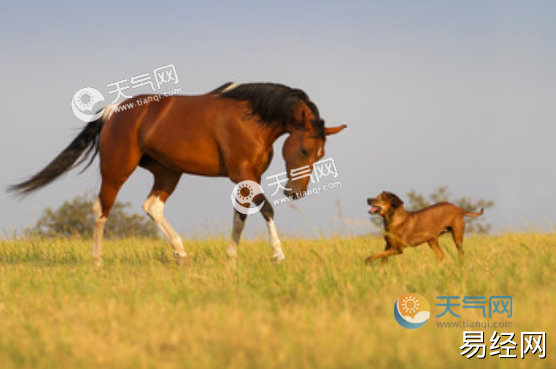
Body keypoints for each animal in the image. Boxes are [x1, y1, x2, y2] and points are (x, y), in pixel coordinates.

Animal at [9, 82, 344, 264]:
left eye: (321, 155)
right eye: (304, 150)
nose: (296, 192)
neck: (251, 119)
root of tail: (114, 111)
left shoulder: (249, 178)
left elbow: (241, 215)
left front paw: (231, 258)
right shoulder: (243, 174)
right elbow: (267, 210)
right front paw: (278, 255)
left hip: (168, 172)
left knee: (152, 207)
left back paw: (180, 252)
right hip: (116, 171)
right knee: (100, 210)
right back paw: (97, 260)